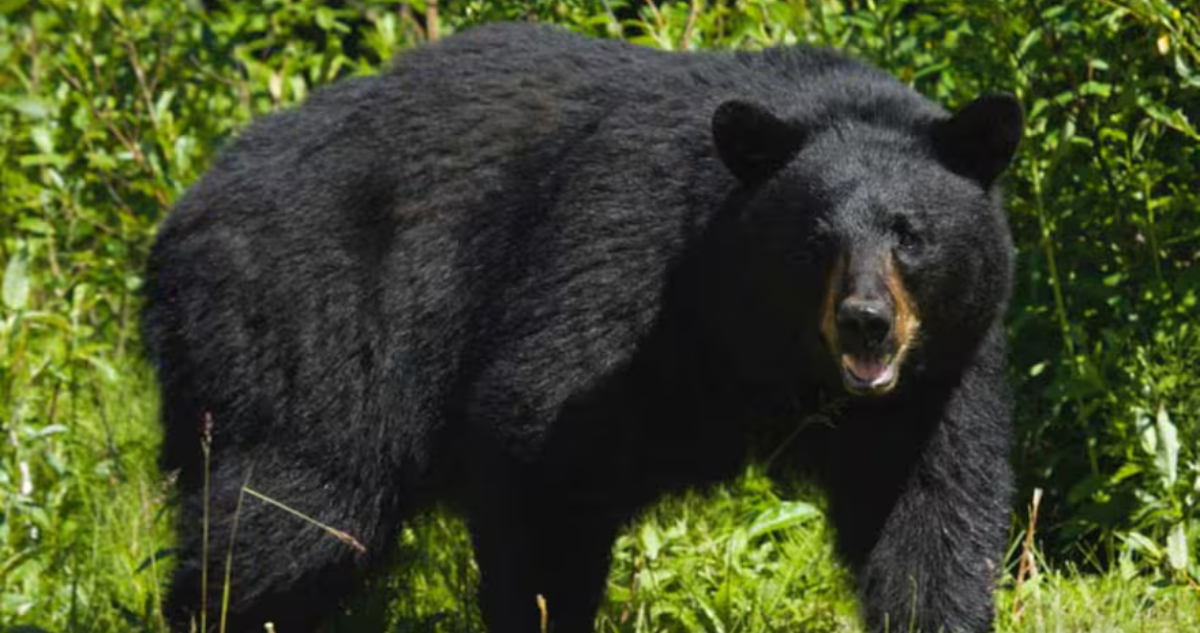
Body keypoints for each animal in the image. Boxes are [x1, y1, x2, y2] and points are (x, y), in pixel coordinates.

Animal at [142, 22, 1021, 633]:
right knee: (292, 516)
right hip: (306, 323)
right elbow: (539, 444)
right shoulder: (623, 267)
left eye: (910, 233)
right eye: (814, 240)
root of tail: (186, 208)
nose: (864, 322)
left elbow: (930, 515)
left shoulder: (936, 378)